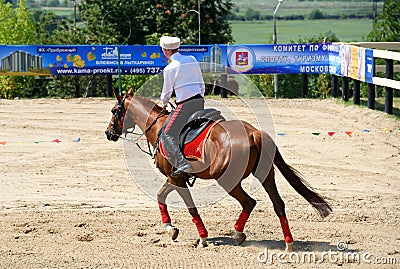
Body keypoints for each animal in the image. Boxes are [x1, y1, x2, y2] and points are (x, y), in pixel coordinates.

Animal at [105, 88, 332, 249]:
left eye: (115, 111)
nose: (108, 133)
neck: (159, 127)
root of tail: (254, 133)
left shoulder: (176, 178)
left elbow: (190, 207)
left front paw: (202, 238)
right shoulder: (175, 178)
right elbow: (161, 196)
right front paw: (170, 228)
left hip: (227, 180)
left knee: (249, 202)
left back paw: (239, 233)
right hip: (266, 175)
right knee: (278, 205)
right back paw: (287, 243)